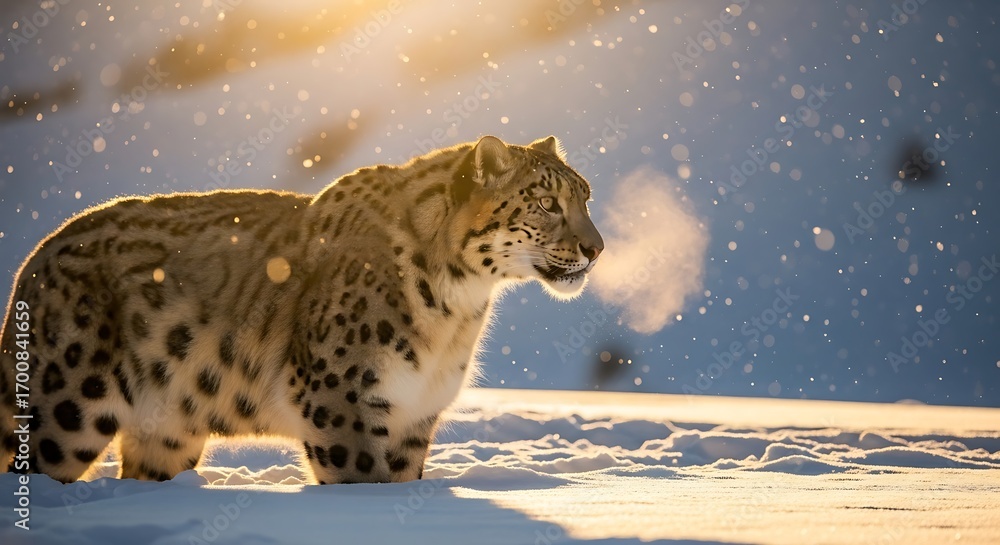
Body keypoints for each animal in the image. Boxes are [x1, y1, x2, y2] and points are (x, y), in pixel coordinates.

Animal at [0, 135, 604, 484]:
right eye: (547, 202)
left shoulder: (415, 414)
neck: (457, 309)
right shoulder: (343, 397)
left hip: (167, 433)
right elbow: (363, 481)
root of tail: (35, 257)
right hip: (66, 411)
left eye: (586, 195)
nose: (596, 248)